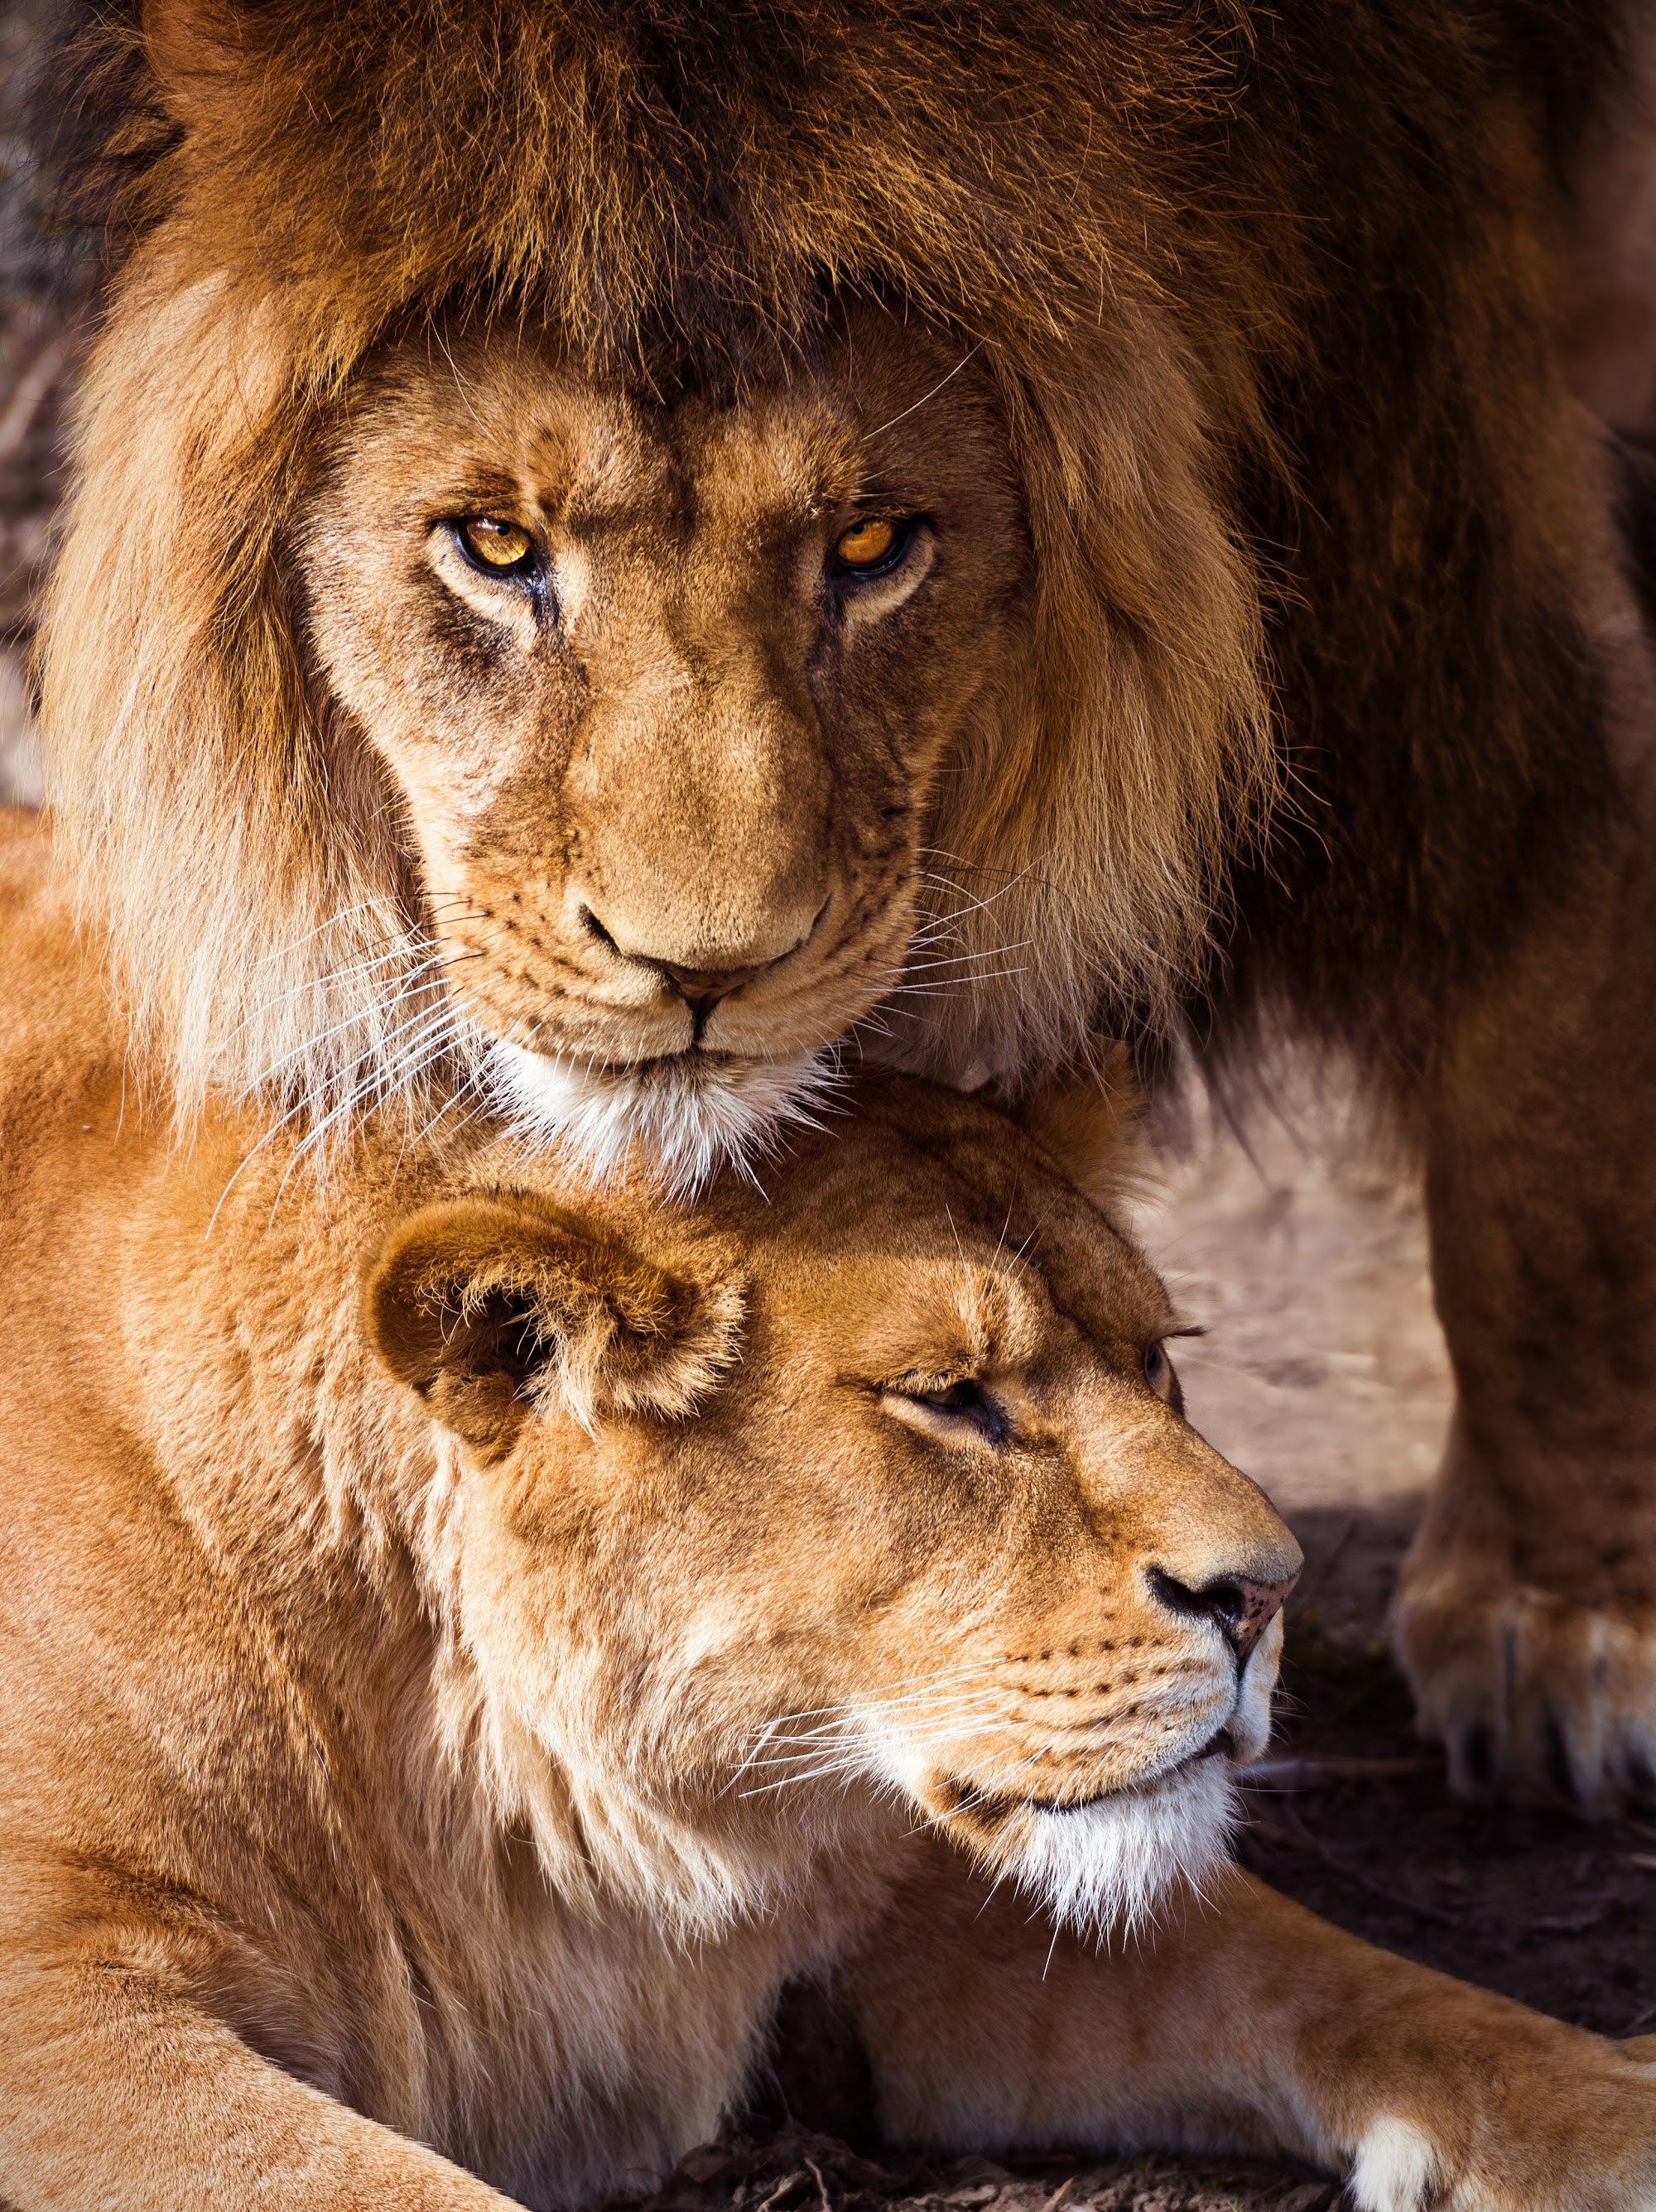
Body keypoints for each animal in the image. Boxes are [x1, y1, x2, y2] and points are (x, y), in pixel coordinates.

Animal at [0, 812, 1652, 2212]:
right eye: (952, 1397)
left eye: (1156, 1358)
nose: (1269, 1591)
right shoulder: (63, 2004)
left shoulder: (920, 1887)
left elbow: (1363, 1986)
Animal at [28, 0, 1656, 1812]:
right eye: (493, 544)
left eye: (874, 543)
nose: (704, 970)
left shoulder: (1438, 502)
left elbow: (1552, 1074)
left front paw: (1561, 1610)